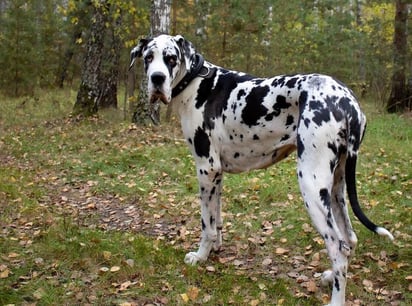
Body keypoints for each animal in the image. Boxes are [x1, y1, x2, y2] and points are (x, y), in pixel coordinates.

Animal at [130, 34, 394, 304]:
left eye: (171, 58)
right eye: (148, 57)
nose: (157, 78)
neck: (195, 83)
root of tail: (347, 101)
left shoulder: (206, 168)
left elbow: (206, 224)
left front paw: (201, 256)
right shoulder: (216, 174)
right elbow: (217, 218)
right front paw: (216, 248)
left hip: (311, 185)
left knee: (338, 249)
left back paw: (336, 298)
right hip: (336, 187)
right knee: (348, 240)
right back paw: (331, 276)